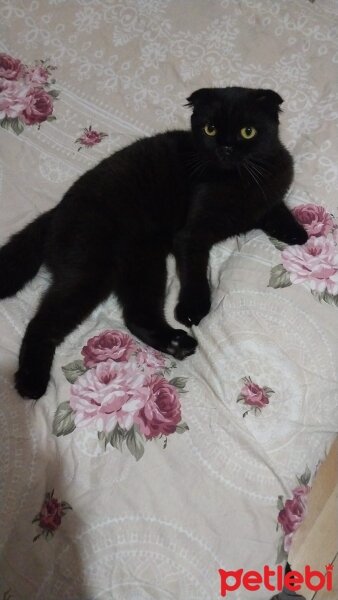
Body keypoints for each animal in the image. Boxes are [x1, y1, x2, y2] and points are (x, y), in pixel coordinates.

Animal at [0, 86, 306, 400]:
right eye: (210, 129)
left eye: (247, 132)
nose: (226, 148)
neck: (239, 180)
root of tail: (55, 212)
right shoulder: (191, 234)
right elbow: (195, 272)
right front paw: (193, 309)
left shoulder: (268, 192)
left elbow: (275, 208)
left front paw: (298, 233)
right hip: (92, 269)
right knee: (42, 323)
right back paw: (31, 382)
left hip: (142, 263)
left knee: (136, 315)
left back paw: (175, 343)